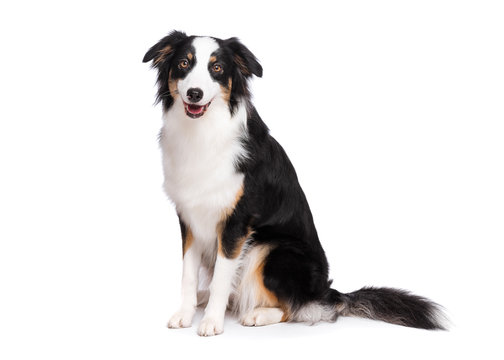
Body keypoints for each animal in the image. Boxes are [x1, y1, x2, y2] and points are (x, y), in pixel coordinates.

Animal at [143, 31, 444, 338]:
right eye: (183, 63)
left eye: (216, 68)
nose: (195, 93)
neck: (203, 132)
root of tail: (326, 292)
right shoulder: (189, 217)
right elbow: (188, 274)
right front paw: (185, 314)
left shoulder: (236, 223)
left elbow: (222, 277)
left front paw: (211, 322)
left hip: (271, 249)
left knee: (296, 308)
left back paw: (257, 314)